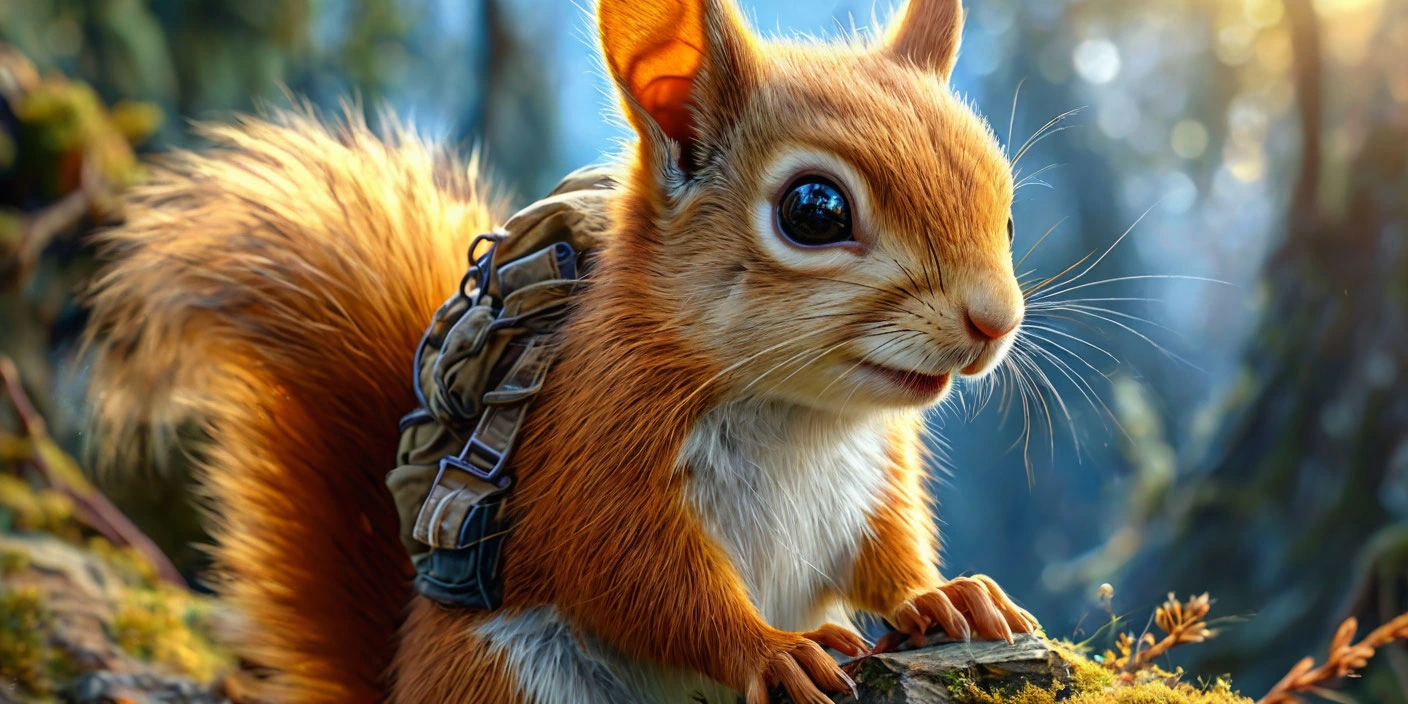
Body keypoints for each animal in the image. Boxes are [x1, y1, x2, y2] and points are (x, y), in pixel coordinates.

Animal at [83, 0, 1037, 702]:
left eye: (1007, 211)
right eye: (814, 210)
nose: (994, 323)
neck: (801, 412)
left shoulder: (874, 476)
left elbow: (886, 552)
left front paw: (944, 596)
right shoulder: (596, 451)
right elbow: (635, 576)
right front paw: (773, 650)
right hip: (505, 678)